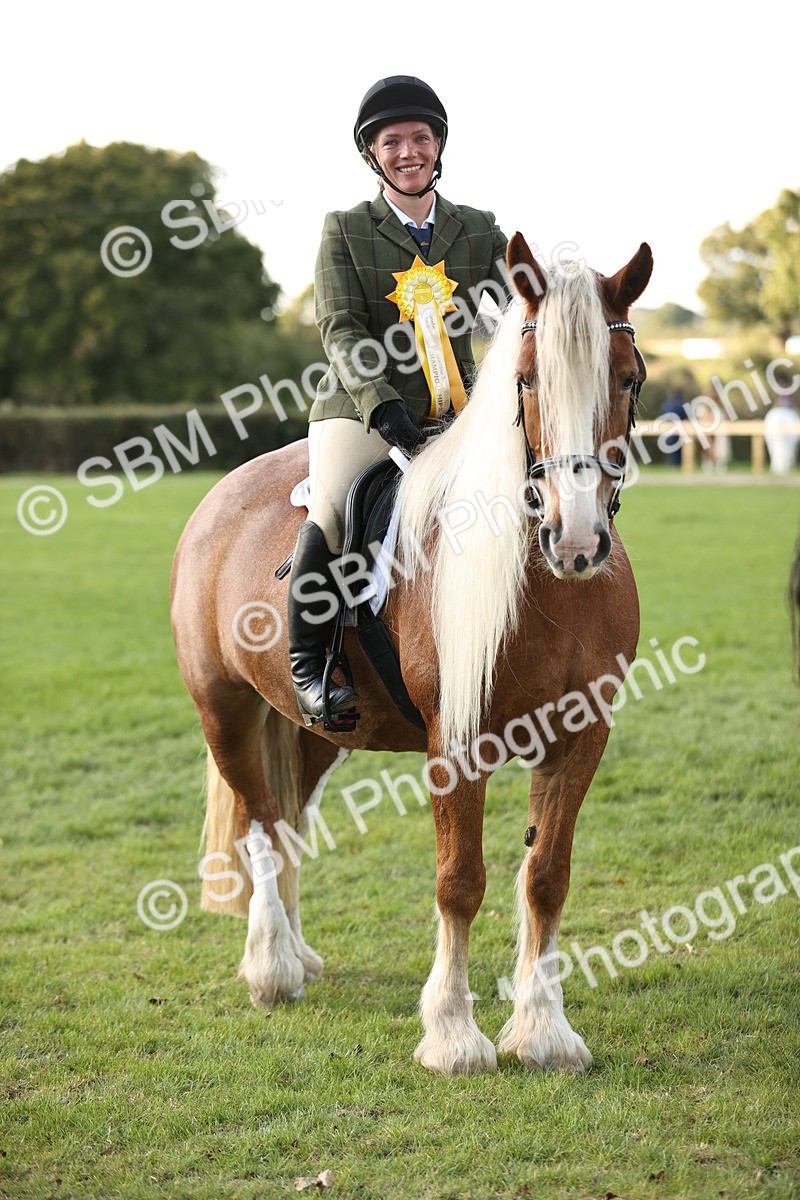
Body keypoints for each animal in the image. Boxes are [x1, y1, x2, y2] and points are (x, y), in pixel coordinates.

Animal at [170, 232, 653, 1076]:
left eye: (627, 381)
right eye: (526, 380)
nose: (576, 541)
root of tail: (221, 495)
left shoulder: (581, 736)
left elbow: (547, 877)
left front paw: (544, 1032)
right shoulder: (455, 742)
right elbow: (460, 880)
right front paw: (454, 1036)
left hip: (314, 729)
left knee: (288, 819)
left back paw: (298, 955)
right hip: (223, 708)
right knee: (260, 824)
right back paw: (272, 968)